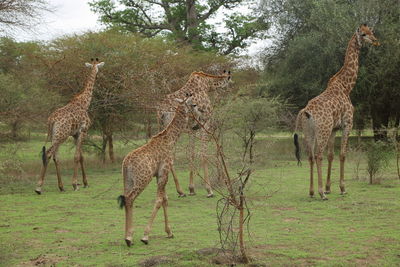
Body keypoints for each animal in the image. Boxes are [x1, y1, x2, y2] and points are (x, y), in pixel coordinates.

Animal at [34, 58, 104, 195]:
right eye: (98, 68)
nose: (100, 75)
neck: (84, 102)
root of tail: (51, 120)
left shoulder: (75, 134)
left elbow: (81, 156)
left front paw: (85, 183)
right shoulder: (83, 131)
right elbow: (76, 156)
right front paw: (75, 184)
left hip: (54, 135)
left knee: (55, 157)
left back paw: (61, 187)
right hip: (61, 135)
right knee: (49, 154)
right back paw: (39, 188)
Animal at [117, 93, 206, 247]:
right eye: (194, 105)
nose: (197, 123)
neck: (170, 139)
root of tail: (126, 163)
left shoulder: (160, 175)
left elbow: (165, 199)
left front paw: (169, 232)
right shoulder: (164, 171)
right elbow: (159, 200)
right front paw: (145, 236)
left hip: (127, 181)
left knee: (127, 199)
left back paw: (128, 236)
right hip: (142, 179)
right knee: (130, 199)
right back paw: (129, 237)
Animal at [156, 70, 231, 198]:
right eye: (230, 81)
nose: (228, 89)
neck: (207, 85)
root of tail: (161, 112)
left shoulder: (192, 128)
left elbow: (191, 153)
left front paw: (191, 189)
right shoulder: (205, 123)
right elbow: (203, 154)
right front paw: (209, 190)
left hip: (161, 127)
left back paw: (175, 191)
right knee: (169, 155)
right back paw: (179, 191)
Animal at [294, 24, 378, 200]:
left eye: (371, 32)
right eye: (363, 34)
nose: (375, 40)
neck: (347, 87)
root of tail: (306, 111)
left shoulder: (334, 128)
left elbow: (331, 155)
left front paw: (328, 188)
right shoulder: (347, 124)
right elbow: (343, 154)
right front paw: (341, 188)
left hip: (309, 132)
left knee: (310, 156)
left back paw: (312, 192)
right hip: (323, 130)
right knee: (318, 155)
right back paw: (320, 194)